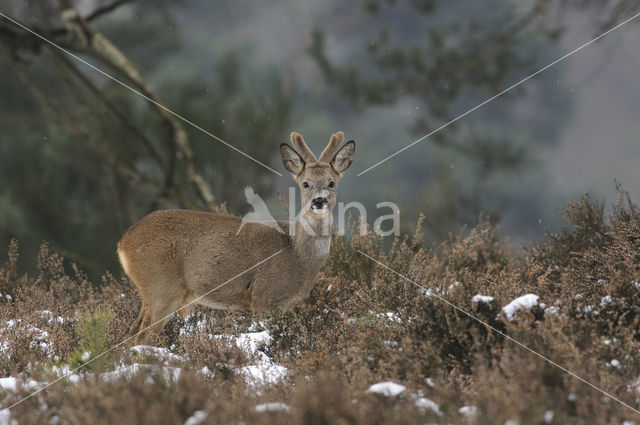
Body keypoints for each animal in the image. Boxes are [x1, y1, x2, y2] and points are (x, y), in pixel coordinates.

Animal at [117, 131, 352, 342]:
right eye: (305, 183)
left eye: (331, 183)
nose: (319, 201)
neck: (296, 254)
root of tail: (122, 243)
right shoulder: (264, 296)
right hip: (161, 286)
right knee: (141, 335)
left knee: (132, 332)